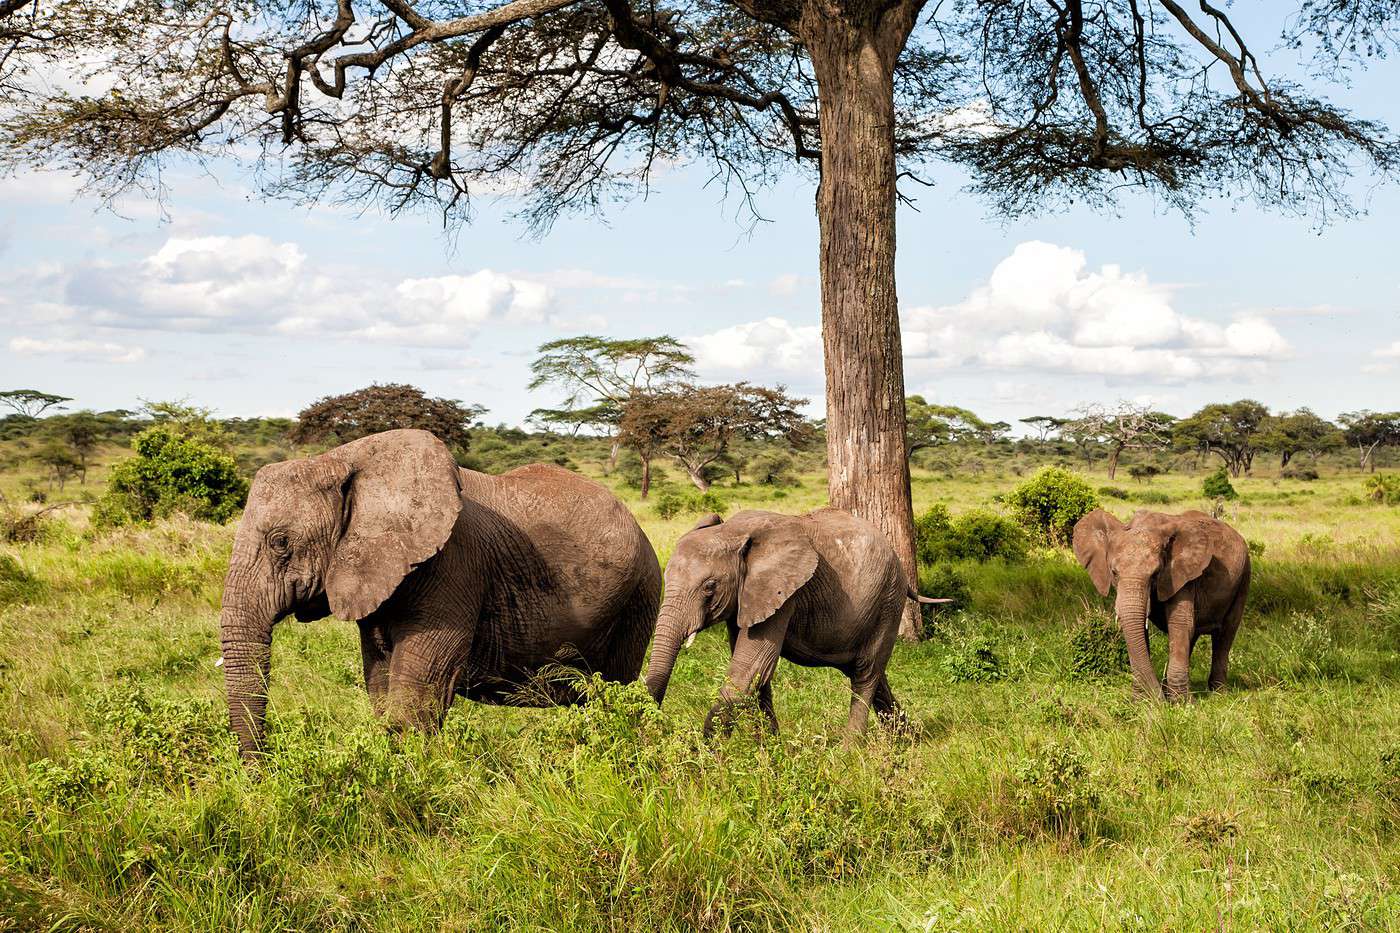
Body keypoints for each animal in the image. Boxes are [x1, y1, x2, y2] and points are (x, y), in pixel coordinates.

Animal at [218, 428, 660, 756]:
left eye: (280, 543)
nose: (260, 770)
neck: (342, 460)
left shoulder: (453, 564)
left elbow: (415, 697)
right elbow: (380, 682)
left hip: (640, 597)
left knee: (614, 689)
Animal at [641, 504, 940, 739]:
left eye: (709, 587)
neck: (733, 531)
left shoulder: (783, 594)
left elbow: (750, 669)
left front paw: (707, 759)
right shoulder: (748, 598)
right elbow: (757, 676)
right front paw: (770, 751)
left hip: (889, 599)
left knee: (864, 674)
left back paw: (850, 752)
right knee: (872, 673)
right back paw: (906, 741)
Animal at [1069, 509, 1248, 697]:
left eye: (1155, 574)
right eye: (1114, 572)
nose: (1158, 698)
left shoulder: (1181, 574)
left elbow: (1179, 623)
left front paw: (1180, 702)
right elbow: (1142, 630)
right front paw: (1143, 699)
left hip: (1244, 577)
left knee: (1225, 634)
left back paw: (1218, 693)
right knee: (1193, 636)